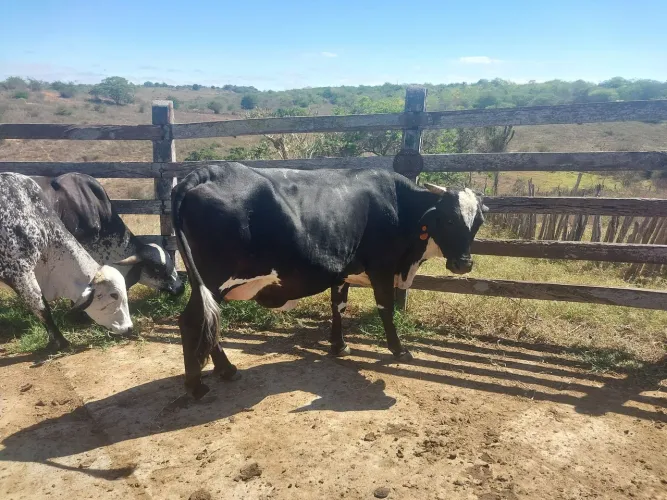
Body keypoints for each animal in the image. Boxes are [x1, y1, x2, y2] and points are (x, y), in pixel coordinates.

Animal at [171, 162, 487, 399]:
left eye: (478, 223)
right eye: (448, 220)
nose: (464, 264)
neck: (399, 205)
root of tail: (206, 171)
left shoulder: (341, 268)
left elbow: (339, 306)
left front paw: (339, 345)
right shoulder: (382, 268)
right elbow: (385, 308)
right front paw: (399, 350)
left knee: (207, 320)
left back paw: (225, 370)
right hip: (213, 278)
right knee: (192, 320)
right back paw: (197, 385)